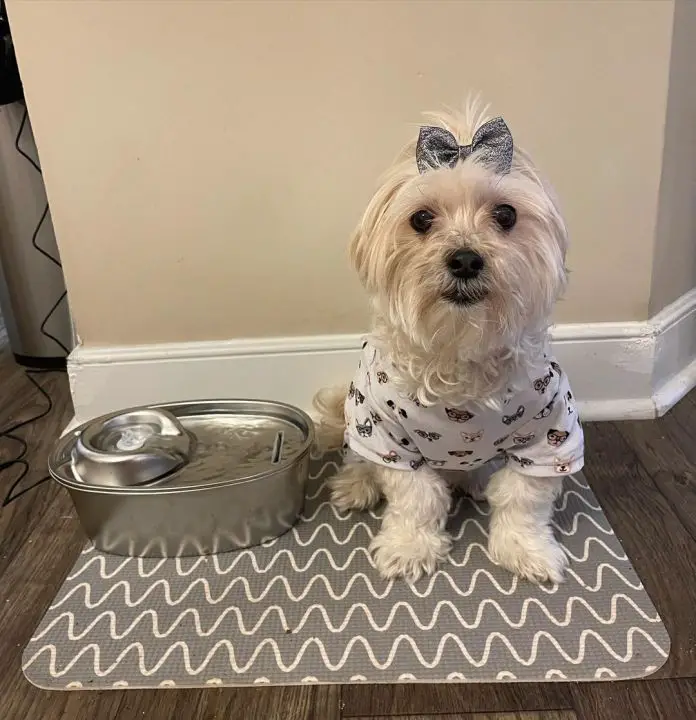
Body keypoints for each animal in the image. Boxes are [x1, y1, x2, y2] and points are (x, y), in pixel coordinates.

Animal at [316, 100, 580, 584]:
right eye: (421, 218)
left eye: (506, 215)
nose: (465, 259)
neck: (460, 349)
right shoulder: (391, 438)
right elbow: (415, 498)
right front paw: (409, 547)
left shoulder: (549, 437)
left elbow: (523, 499)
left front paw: (526, 549)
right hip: (359, 416)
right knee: (358, 458)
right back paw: (356, 485)